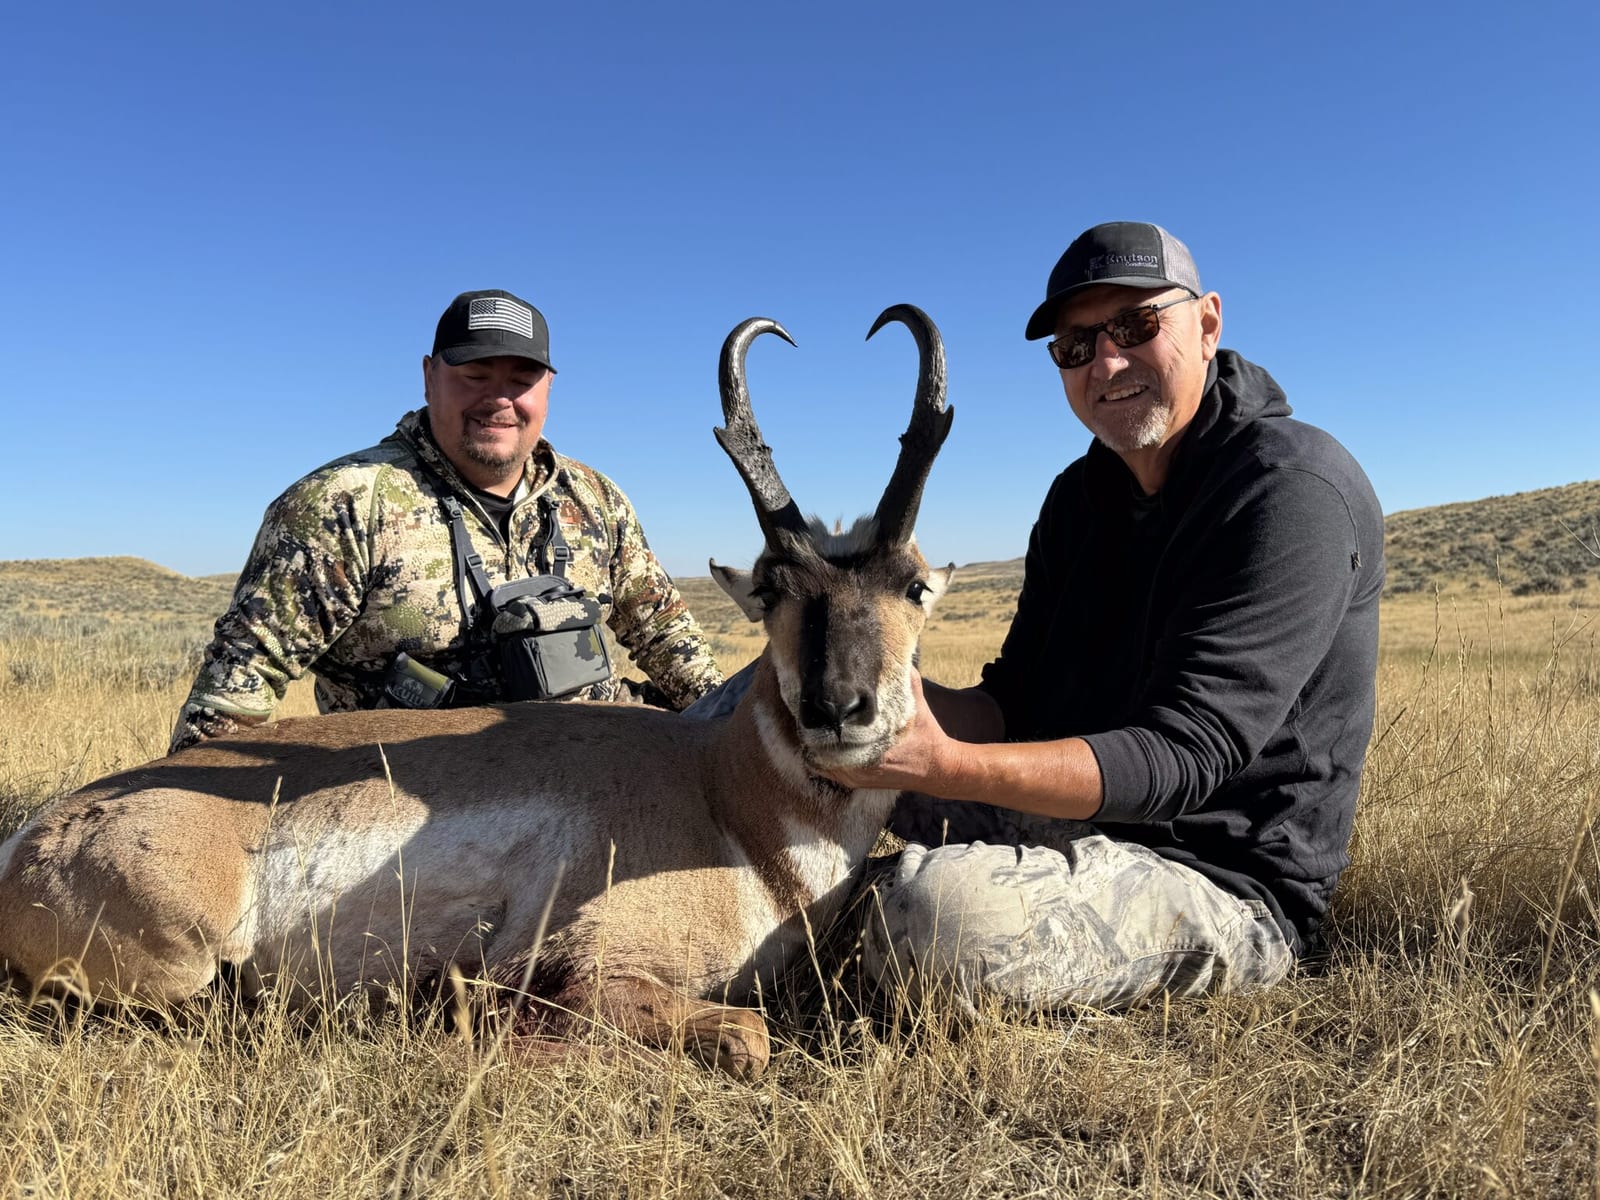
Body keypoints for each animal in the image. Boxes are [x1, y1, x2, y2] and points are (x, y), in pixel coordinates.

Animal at [0, 305, 955, 1079]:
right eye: (773, 590)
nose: (838, 708)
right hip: (185, 959)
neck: (722, 792)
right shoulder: (593, 965)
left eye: (913, 586)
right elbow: (745, 1036)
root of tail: (35, 836)